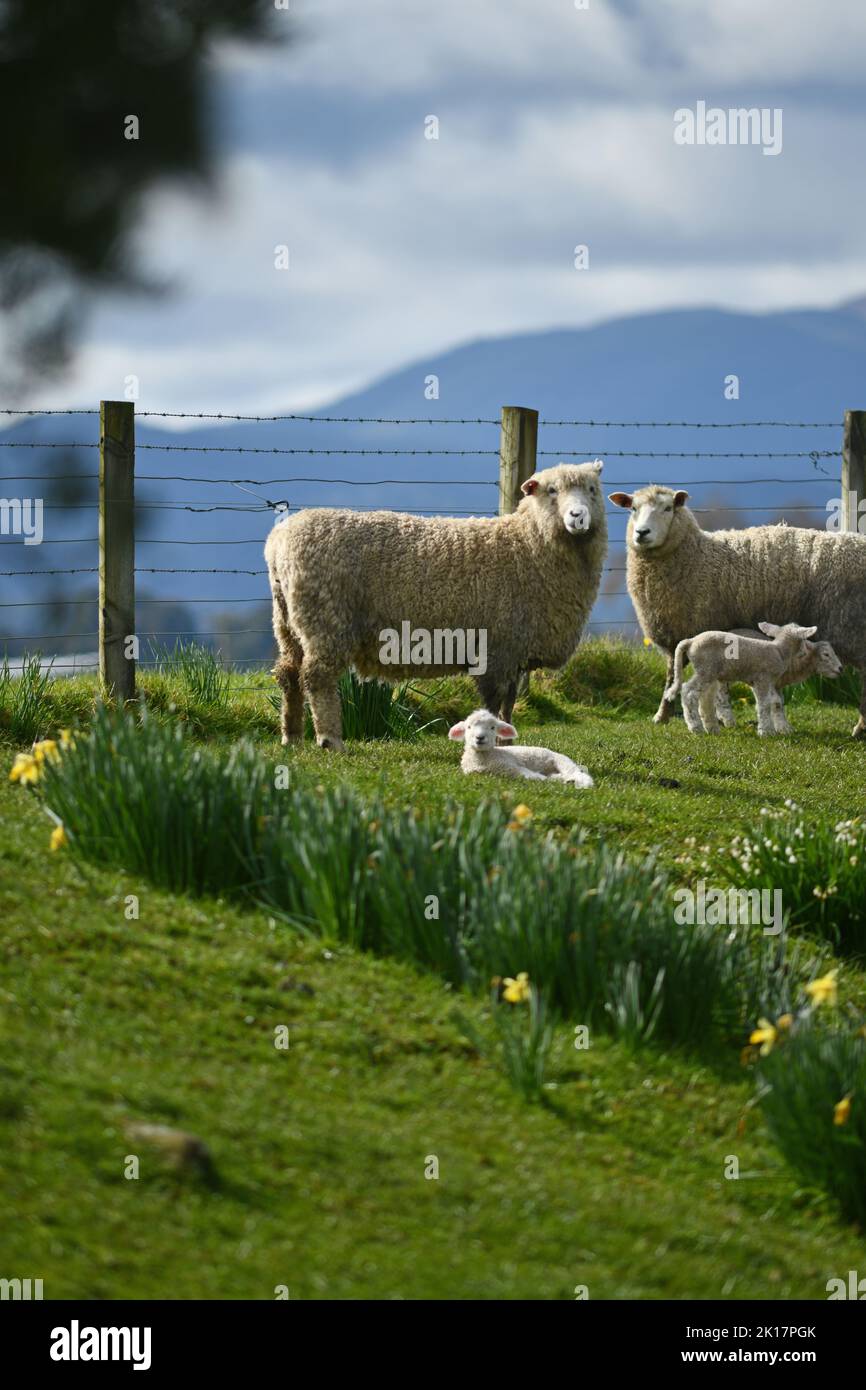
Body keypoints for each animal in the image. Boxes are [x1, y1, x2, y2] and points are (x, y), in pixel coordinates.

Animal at [265, 461, 608, 750]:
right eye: (552, 490)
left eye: (592, 489)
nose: (578, 516)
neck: (527, 546)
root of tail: (278, 541)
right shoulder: (497, 648)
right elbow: (494, 702)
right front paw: (495, 745)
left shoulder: (514, 651)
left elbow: (508, 703)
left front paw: (509, 742)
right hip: (326, 619)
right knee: (316, 677)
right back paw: (329, 740)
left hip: (287, 620)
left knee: (289, 674)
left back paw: (291, 737)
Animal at [447, 711, 594, 789]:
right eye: (469, 727)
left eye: (493, 727)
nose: (480, 738)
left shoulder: (512, 766)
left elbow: (530, 775)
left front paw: (541, 779)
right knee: (559, 775)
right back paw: (566, 781)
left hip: (562, 761)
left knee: (577, 773)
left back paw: (582, 783)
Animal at [664, 617, 828, 728]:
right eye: (803, 640)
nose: (805, 652)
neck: (779, 650)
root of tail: (690, 641)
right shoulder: (763, 679)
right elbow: (765, 704)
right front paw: (767, 731)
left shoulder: (763, 682)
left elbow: (770, 702)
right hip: (706, 670)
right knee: (688, 691)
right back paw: (695, 726)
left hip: (707, 672)